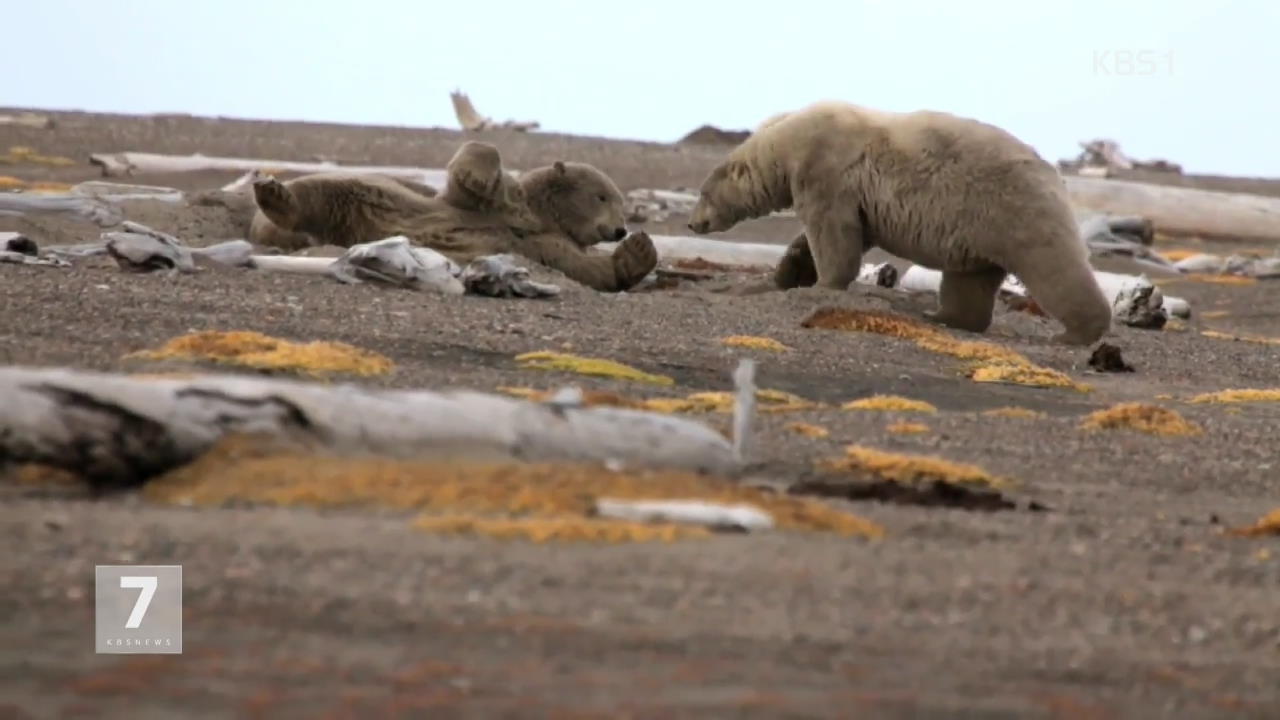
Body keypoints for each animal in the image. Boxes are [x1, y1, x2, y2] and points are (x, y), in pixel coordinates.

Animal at [686, 101, 1116, 345]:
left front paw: (824, 284)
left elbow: (832, 232)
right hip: (980, 230)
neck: (787, 141)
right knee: (970, 282)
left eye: (703, 194)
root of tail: (1053, 173)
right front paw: (788, 272)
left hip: (1014, 209)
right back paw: (941, 316)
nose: (692, 225)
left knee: (1053, 267)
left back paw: (1076, 332)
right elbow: (833, 237)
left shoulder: (826, 171)